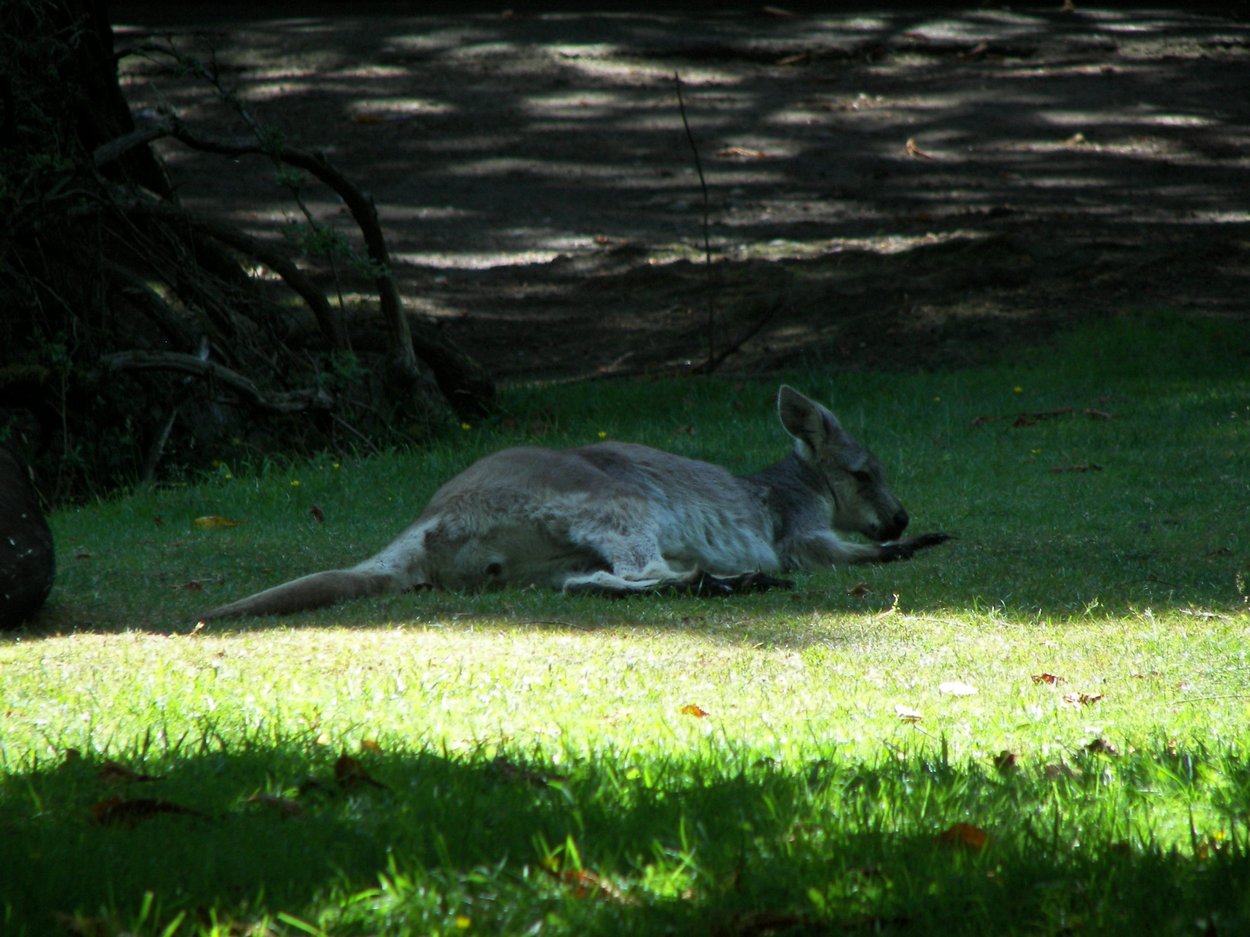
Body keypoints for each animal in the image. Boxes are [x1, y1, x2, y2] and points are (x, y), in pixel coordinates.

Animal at [200, 386, 949, 619]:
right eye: (865, 474)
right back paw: (730, 582)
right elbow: (836, 552)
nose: (904, 516)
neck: (796, 483)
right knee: (642, 572)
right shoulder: (797, 531)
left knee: (592, 584)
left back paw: (718, 583)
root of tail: (428, 520)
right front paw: (909, 545)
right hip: (613, 501)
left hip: (547, 554)